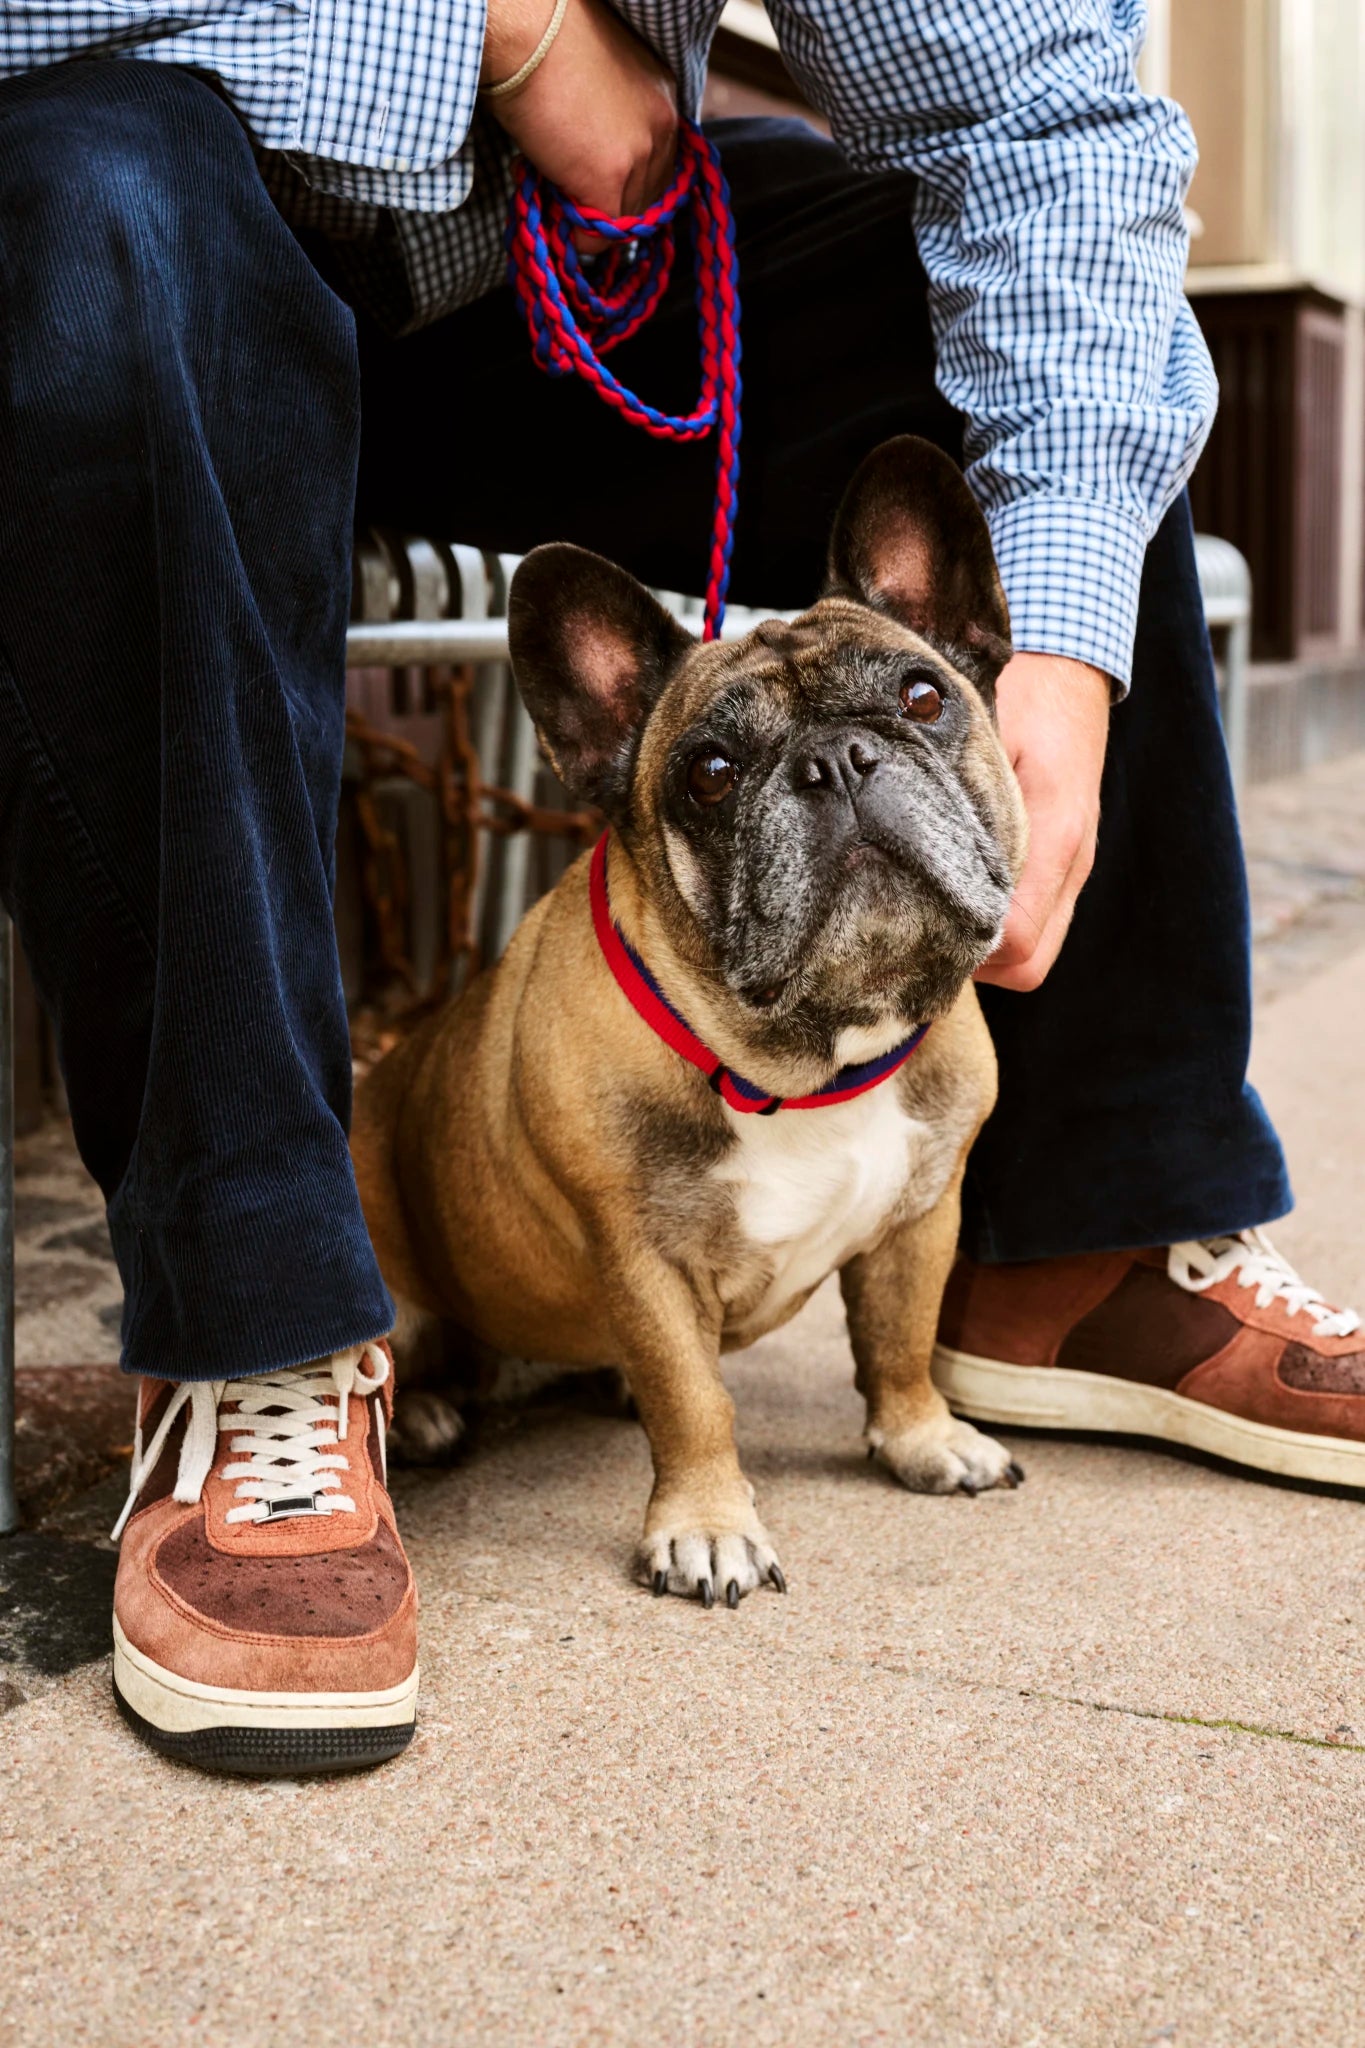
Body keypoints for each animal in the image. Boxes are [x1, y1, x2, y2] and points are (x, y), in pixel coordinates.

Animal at [351, 440, 1023, 1605]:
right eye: (709, 773)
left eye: (922, 693)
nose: (838, 758)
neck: (801, 1059)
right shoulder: (643, 1261)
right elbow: (691, 1397)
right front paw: (708, 1525)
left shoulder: (920, 1214)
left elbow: (902, 1335)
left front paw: (922, 1438)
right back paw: (426, 1408)